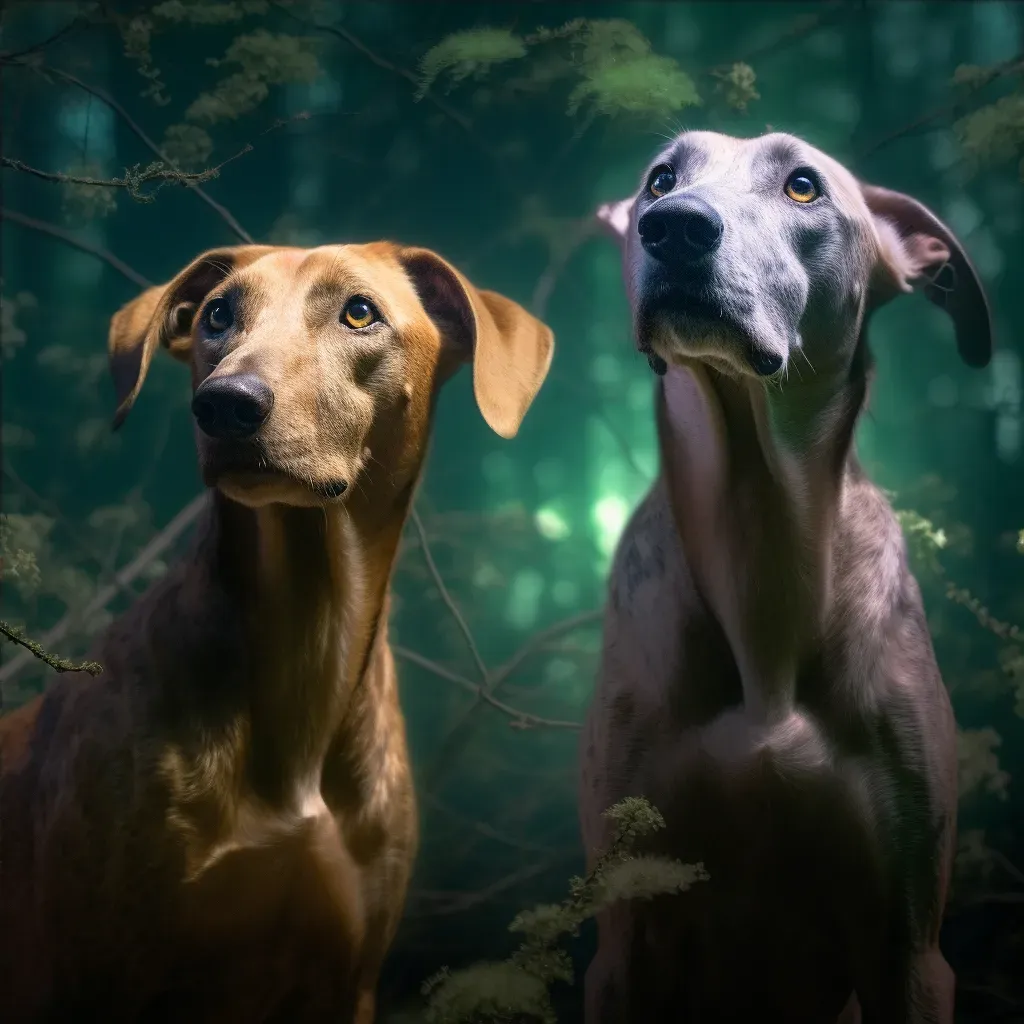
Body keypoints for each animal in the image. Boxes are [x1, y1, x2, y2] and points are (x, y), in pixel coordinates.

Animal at [0, 239, 552, 1015]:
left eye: (360, 312)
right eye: (217, 315)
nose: (225, 403)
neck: (307, 635)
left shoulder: (348, 979)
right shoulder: (104, 968)